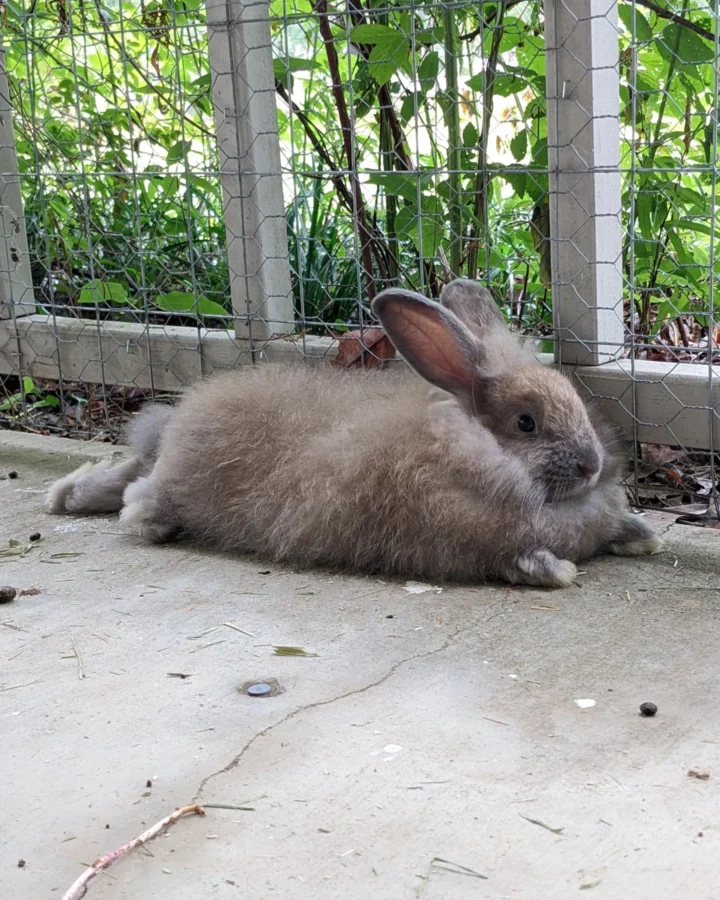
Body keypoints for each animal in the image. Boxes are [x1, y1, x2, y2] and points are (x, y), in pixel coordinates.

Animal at [46, 279, 662, 587]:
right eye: (526, 423)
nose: (591, 466)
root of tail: (176, 428)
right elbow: (520, 557)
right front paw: (559, 571)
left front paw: (640, 535)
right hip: (174, 485)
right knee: (139, 498)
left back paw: (64, 496)